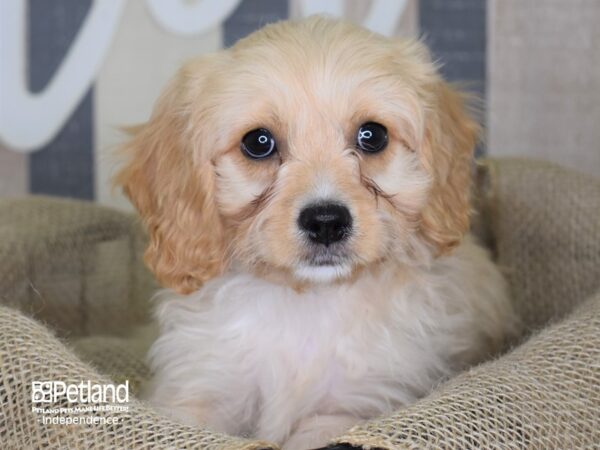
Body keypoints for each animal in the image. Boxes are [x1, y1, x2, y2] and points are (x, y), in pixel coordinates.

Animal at [117, 15, 520, 448]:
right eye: (258, 142)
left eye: (373, 135)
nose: (326, 221)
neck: (306, 303)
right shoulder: (200, 386)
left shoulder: (353, 407)